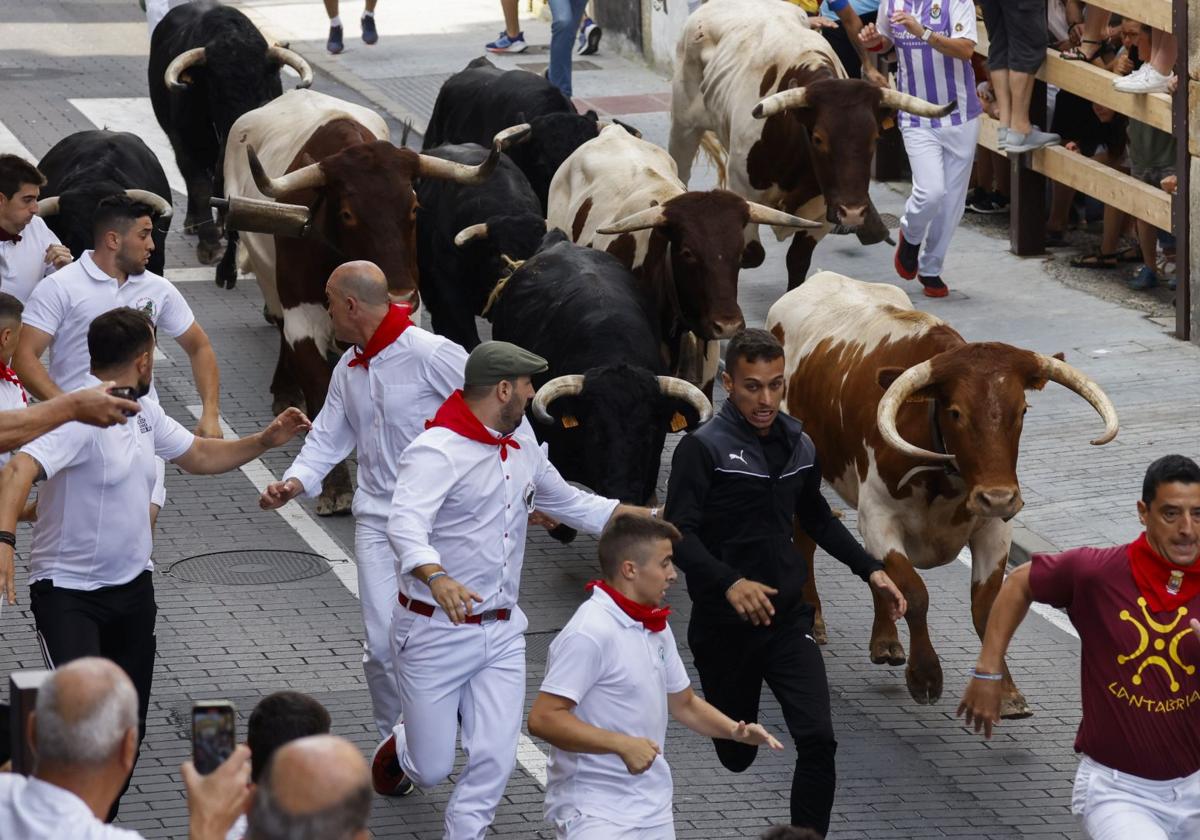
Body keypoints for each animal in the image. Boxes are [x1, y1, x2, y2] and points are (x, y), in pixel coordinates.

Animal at [220, 90, 501, 511]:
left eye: (414, 208)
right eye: (348, 213)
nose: (400, 295)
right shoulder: (303, 319)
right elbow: (321, 392)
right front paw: (336, 486)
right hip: (269, 279)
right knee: (281, 328)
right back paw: (285, 390)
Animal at [676, 0, 955, 289]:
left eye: (874, 137)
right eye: (818, 139)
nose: (854, 213)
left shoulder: (824, 209)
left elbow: (798, 260)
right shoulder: (743, 190)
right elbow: (752, 253)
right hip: (684, 122)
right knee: (680, 170)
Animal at [763, 273, 1118, 715]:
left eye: (1021, 410)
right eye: (955, 413)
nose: (1000, 497)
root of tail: (819, 278)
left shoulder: (993, 529)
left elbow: (986, 608)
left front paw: (1005, 692)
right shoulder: (879, 518)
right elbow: (915, 593)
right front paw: (926, 675)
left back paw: (886, 642)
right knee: (807, 539)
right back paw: (816, 620)